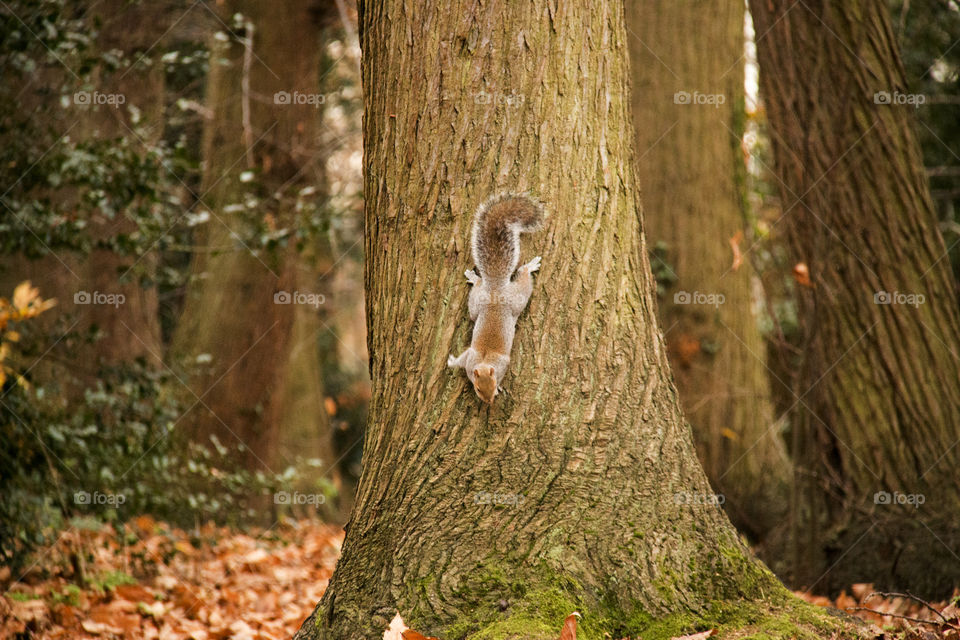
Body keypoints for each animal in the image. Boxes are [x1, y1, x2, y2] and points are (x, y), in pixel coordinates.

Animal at [447, 193, 544, 404]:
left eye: (493, 383)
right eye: (477, 388)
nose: (489, 401)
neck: (485, 361)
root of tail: (495, 288)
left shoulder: (501, 364)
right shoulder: (470, 359)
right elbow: (461, 360)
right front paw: (452, 362)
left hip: (510, 300)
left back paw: (528, 267)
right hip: (483, 302)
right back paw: (477, 278)